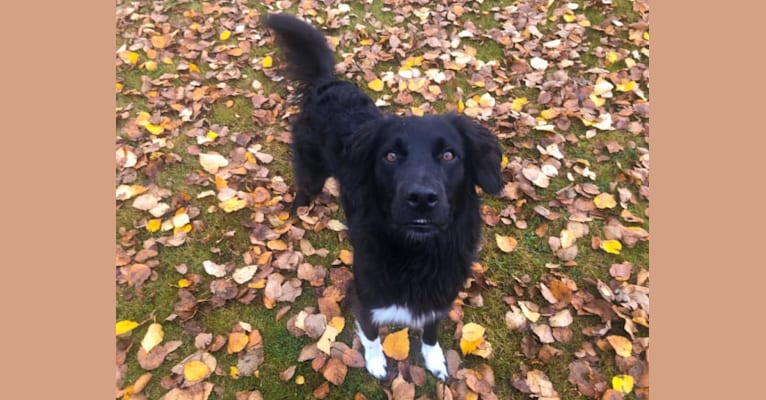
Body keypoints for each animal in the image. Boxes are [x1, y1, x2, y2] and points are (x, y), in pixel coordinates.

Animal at [268, 13, 508, 382]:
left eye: (449, 155)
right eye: (390, 156)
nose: (421, 198)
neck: (416, 256)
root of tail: (327, 84)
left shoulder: (440, 298)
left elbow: (430, 333)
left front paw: (435, 360)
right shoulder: (365, 297)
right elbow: (370, 336)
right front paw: (376, 363)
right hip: (310, 172)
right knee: (303, 192)